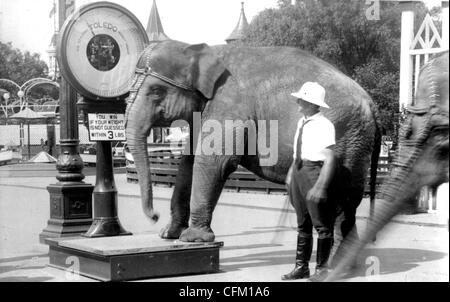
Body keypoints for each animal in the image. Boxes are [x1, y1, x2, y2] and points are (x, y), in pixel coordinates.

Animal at [125, 40, 382, 243]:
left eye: (155, 91)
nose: (154, 216)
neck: (201, 50)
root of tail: (372, 105)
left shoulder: (228, 105)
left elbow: (214, 163)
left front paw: (193, 239)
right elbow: (188, 163)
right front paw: (169, 234)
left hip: (346, 137)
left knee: (341, 200)